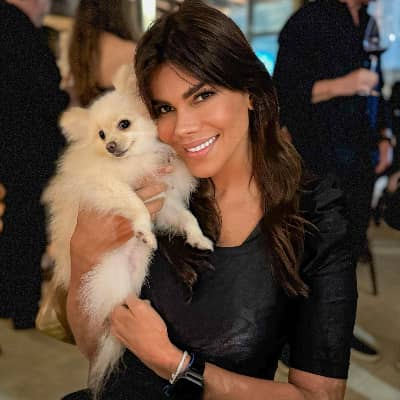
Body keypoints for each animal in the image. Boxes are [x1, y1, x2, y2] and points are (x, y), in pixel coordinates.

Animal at [41, 64, 213, 398]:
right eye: (101, 135)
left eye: (124, 124)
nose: (110, 145)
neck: (135, 160)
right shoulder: (107, 187)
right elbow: (135, 205)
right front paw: (144, 231)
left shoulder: (165, 201)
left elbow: (187, 218)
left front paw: (199, 239)